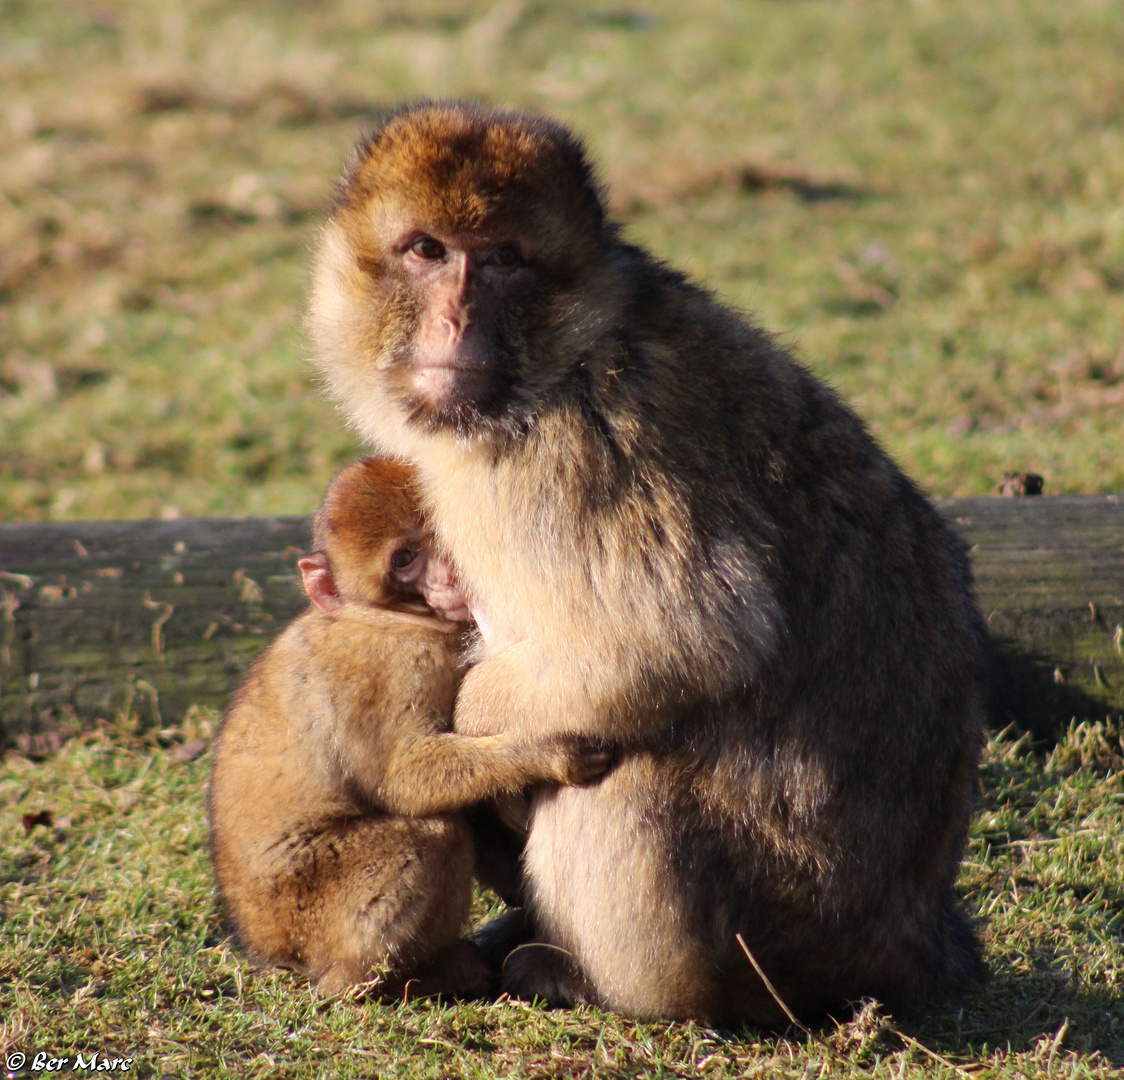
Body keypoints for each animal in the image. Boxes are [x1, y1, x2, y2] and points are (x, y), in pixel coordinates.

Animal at [211, 454, 615, 993]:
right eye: (405, 559)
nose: (452, 573)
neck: (390, 616)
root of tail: (264, 944)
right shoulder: (396, 668)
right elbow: (403, 779)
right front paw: (549, 752)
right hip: (307, 907)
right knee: (434, 835)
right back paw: (382, 978)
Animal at [307, 101, 984, 1020]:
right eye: (428, 251)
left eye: (504, 260)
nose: (456, 320)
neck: (563, 356)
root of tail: (910, 941)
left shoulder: (574, 455)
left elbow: (681, 639)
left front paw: (478, 714)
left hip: (769, 941)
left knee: (627, 765)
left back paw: (594, 980)